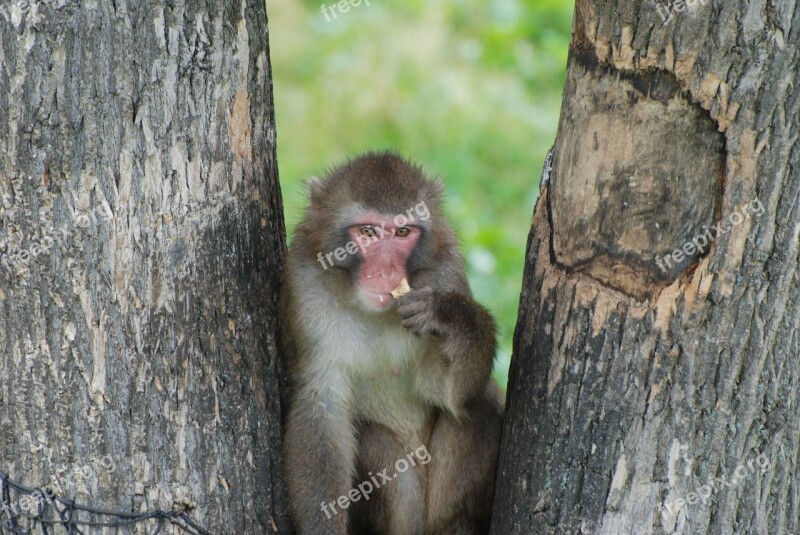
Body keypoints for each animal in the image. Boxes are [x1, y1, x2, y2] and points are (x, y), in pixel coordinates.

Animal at [282, 152, 506, 535]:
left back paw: (454, 526)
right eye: (367, 231)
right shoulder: (305, 285)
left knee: (479, 401)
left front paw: (447, 315)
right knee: (370, 436)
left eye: (403, 232)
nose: (387, 271)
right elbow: (322, 404)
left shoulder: (446, 272)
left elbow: (445, 391)